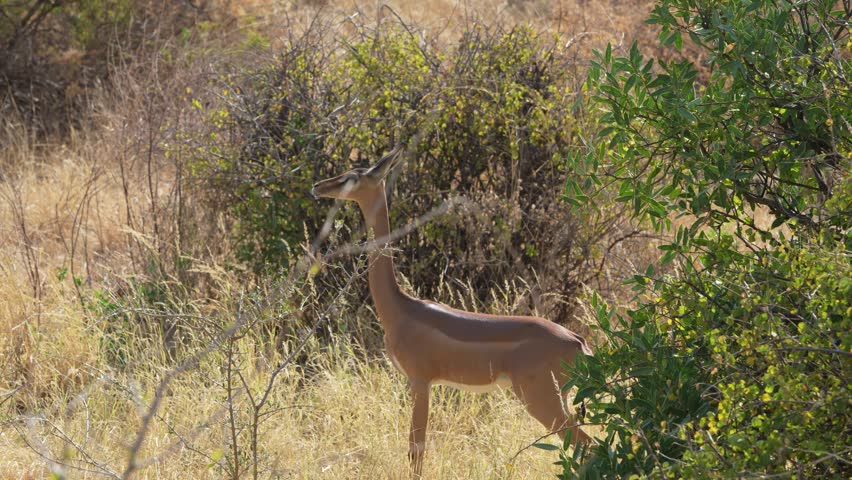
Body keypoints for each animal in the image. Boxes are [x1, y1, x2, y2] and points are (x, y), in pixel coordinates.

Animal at [312, 147, 593, 476]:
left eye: (352, 178)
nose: (318, 187)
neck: (399, 309)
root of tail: (578, 342)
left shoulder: (419, 381)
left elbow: (416, 449)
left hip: (542, 400)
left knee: (588, 444)